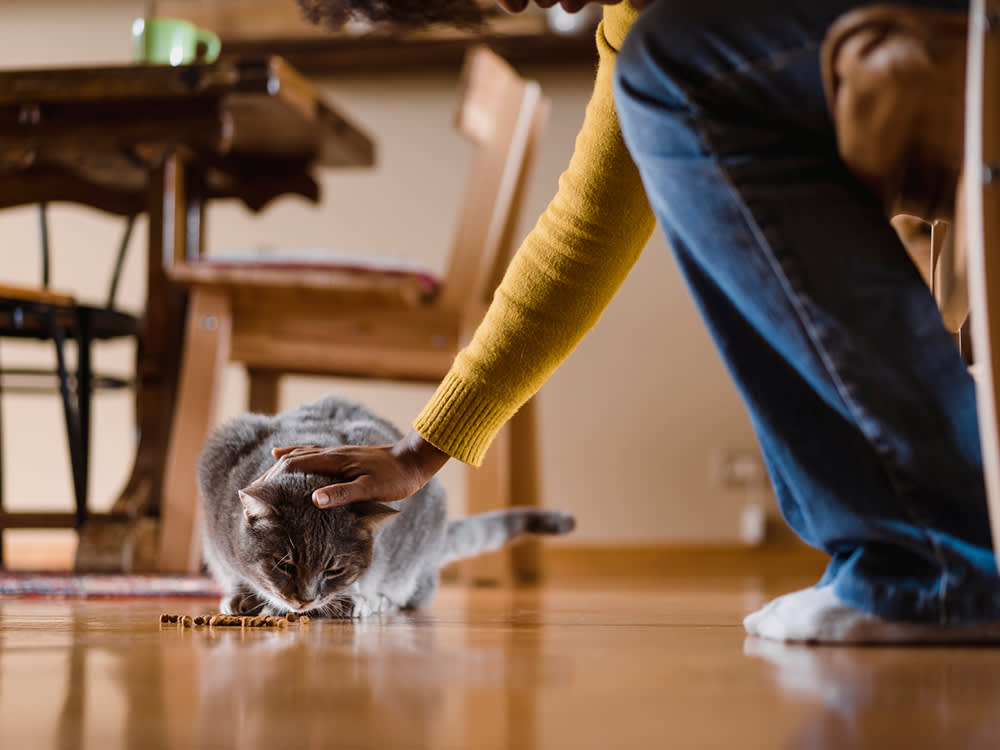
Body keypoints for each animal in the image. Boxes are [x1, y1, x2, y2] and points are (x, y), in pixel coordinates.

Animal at [199, 396, 576, 620]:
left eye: (334, 570)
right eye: (285, 564)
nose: (304, 601)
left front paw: (353, 600)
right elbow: (233, 572)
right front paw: (240, 596)